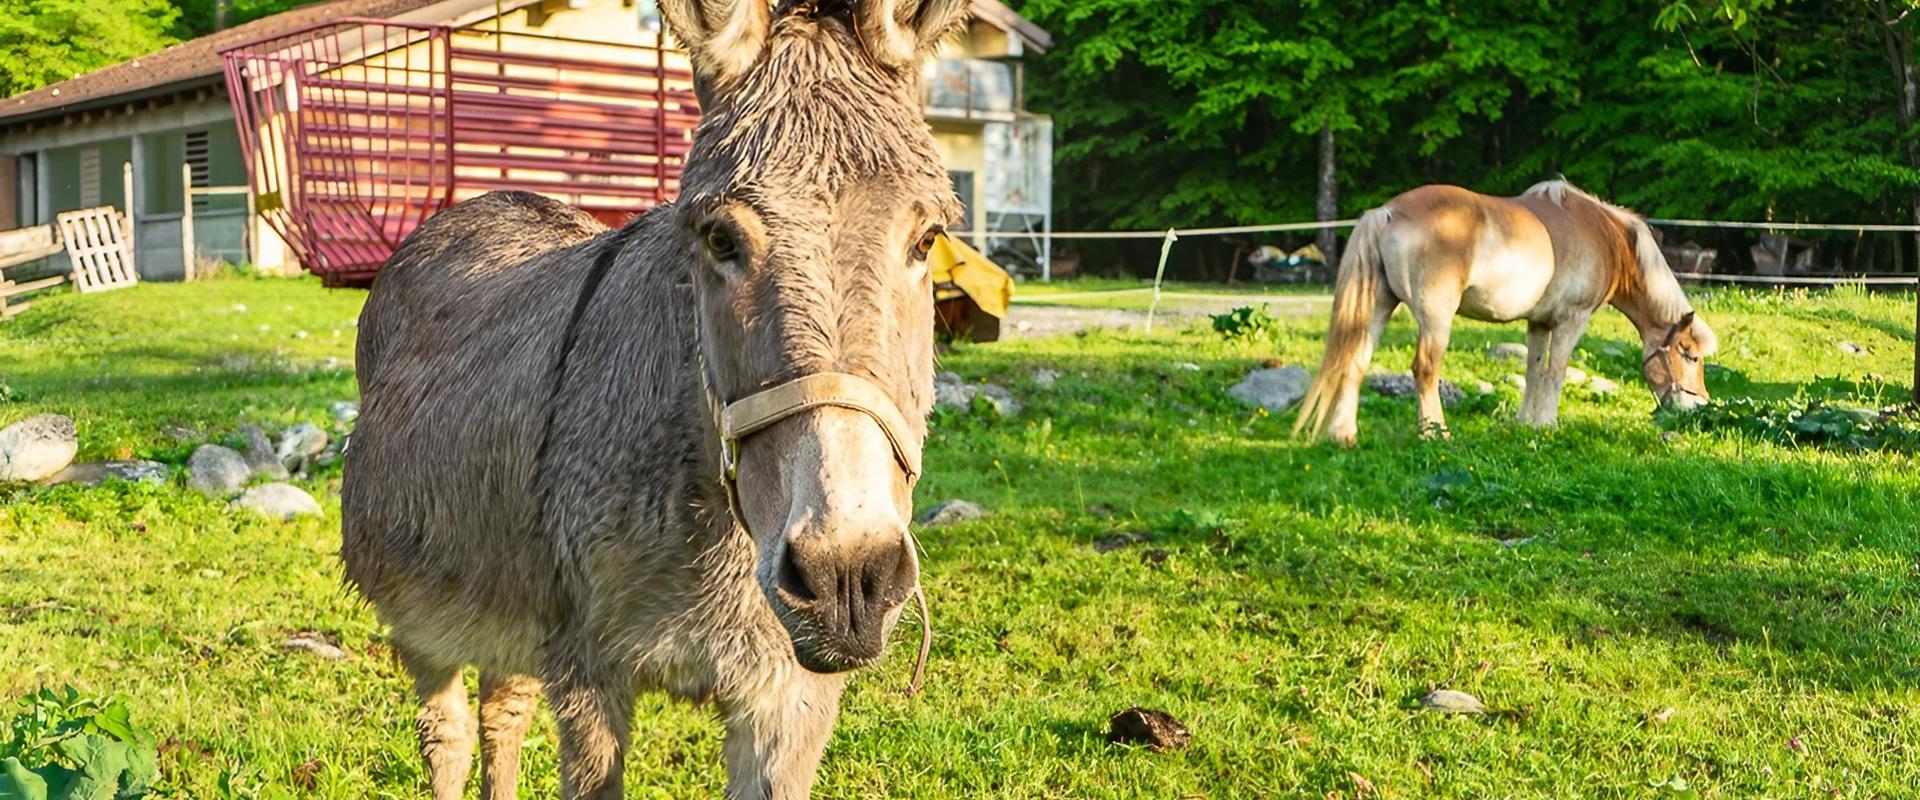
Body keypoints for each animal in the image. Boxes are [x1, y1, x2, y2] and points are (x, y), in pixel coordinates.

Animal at [336, 1, 967, 798]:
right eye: (719, 238)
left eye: (928, 239)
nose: (845, 578)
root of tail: (484, 202)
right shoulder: (588, 670)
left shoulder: (790, 699)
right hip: (427, 618)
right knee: (445, 735)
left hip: (514, 599)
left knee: (502, 711)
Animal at [1297, 179, 1720, 443]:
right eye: (1689, 355)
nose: (1697, 406)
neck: (1606, 236)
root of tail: (1387, 213)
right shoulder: (1572, 320)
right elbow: (1556, 371)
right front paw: (1548, 424)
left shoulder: (1539, 323)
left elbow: (1534, 370)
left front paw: (1527, 423)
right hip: (1435, 319)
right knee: (1425, 369)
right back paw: (1437, 433)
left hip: (1379, 307)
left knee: (1355, 362)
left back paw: (1343, 435)